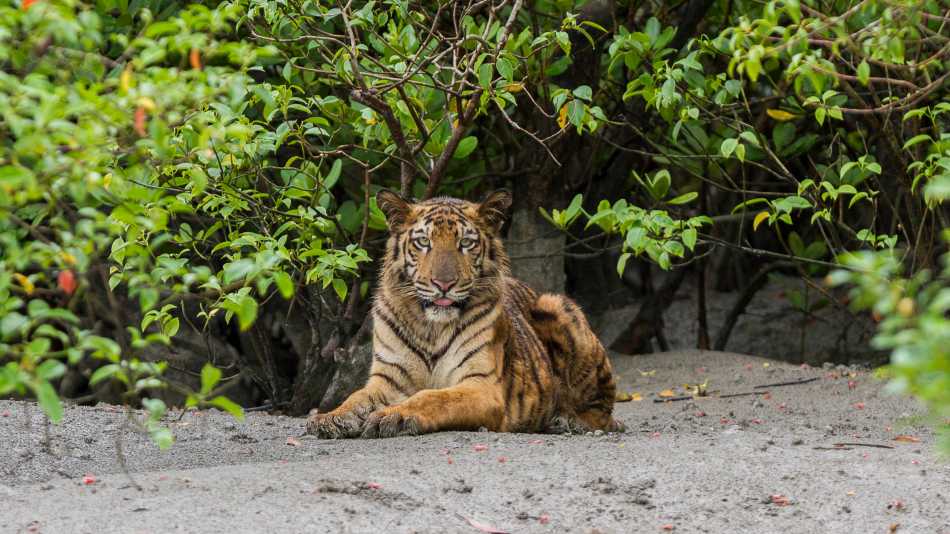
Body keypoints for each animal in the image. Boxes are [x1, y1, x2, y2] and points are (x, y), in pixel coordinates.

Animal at [305, 189, 620, 438]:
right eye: (423, 242)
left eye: (465, 244)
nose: (443, 284)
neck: (430, 328)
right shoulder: (388, 379)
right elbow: (356, 397)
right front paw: (330, 418)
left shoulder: (481, 385)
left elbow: (432, 397)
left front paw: (393, 416)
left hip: (557, 306)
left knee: (603, 411)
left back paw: (568, 421)